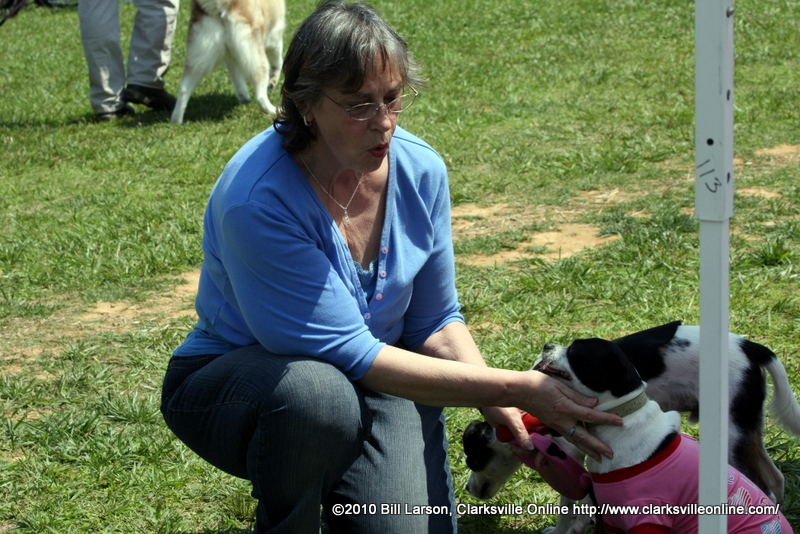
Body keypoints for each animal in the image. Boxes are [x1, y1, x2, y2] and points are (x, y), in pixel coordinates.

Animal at [462, 322, 800, 532]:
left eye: (471, 459)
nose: (467, 488)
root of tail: (750, 346)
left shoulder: (572, 455)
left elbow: (568, 506)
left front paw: (563, 529)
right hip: (745, 429)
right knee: (776, 477)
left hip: (731, 437)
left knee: (764, 484)